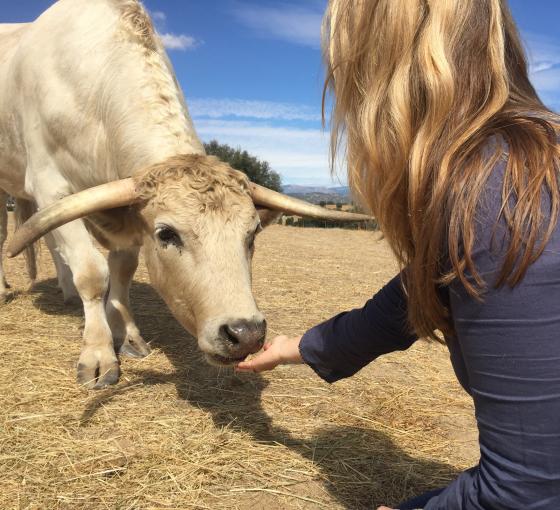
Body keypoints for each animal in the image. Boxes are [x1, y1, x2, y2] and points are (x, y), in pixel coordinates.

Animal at [0, 0, 369, 389]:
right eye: (166, 234)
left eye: (252, 234)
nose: (245, 333)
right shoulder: (49, 184)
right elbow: (91, 272)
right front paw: (99, 354)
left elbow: (122, 269)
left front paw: (127, 335)